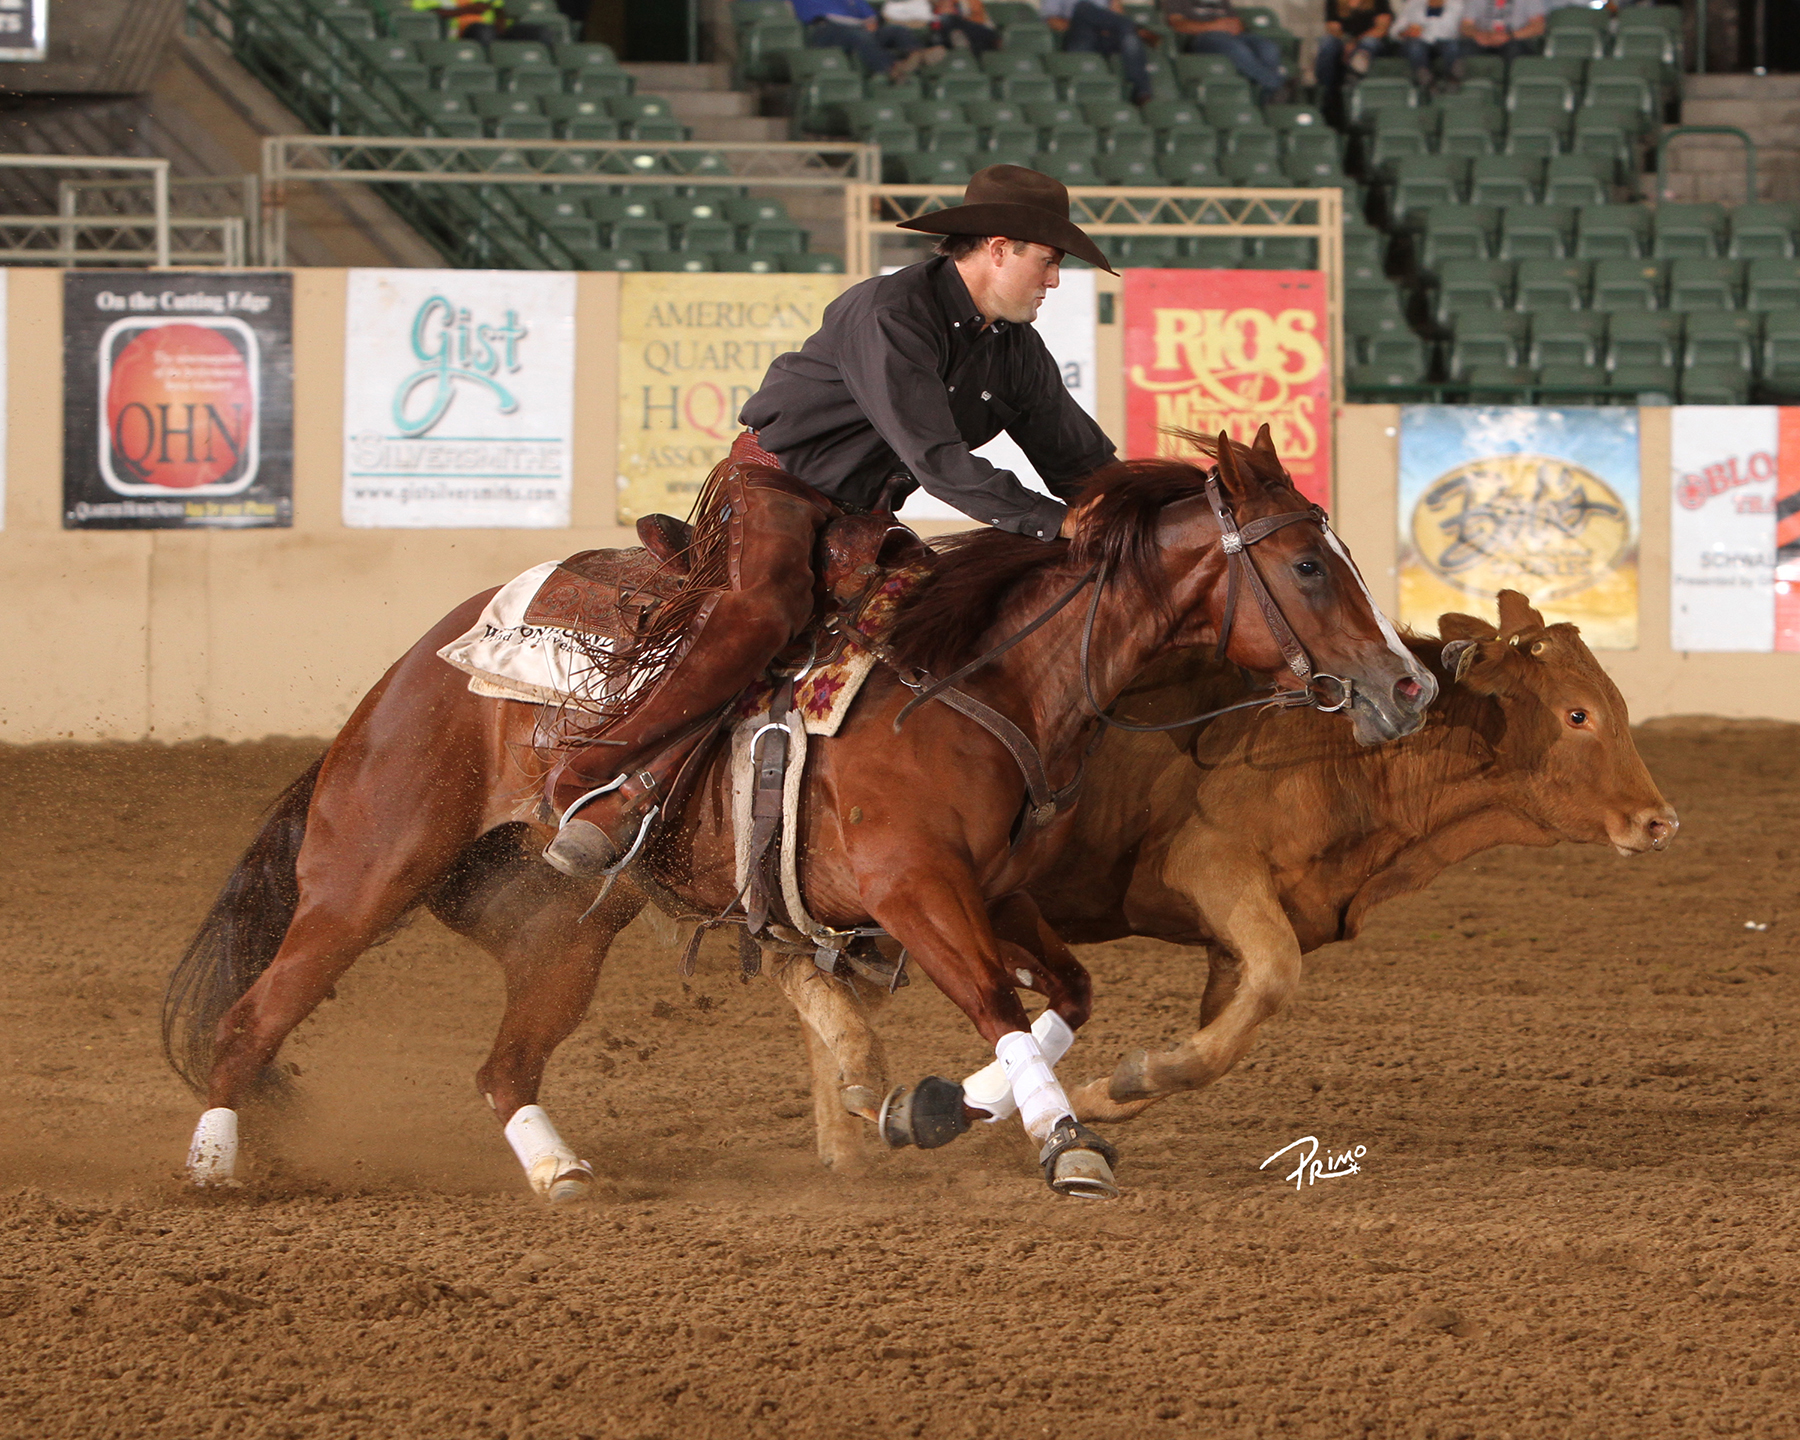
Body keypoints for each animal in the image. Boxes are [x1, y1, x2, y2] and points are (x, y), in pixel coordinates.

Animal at [169, 433, 1432, 1195]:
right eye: (1309, 567)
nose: (1411, 685)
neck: (973, 681)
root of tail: (412, 669)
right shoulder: (915, 893)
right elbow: (1002, 1010)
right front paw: (1065, 1143)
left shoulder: (994, 893)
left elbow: (1065, 999)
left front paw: (919, 1111)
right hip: (366, 875)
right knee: (250, 1022)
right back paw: (215, 1163)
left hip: (566, 926)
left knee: (504, 1067)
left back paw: (558, 1173)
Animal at [781, 590, 1677, 1166]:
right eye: (1577, 715)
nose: (1659, 821)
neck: (1352, 756)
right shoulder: (1214, 867)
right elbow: (1274, 981)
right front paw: (1125, 1078)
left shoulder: (1235, 937)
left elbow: (1225, 1030)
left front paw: (1107, 1091)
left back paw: (854, 1131)